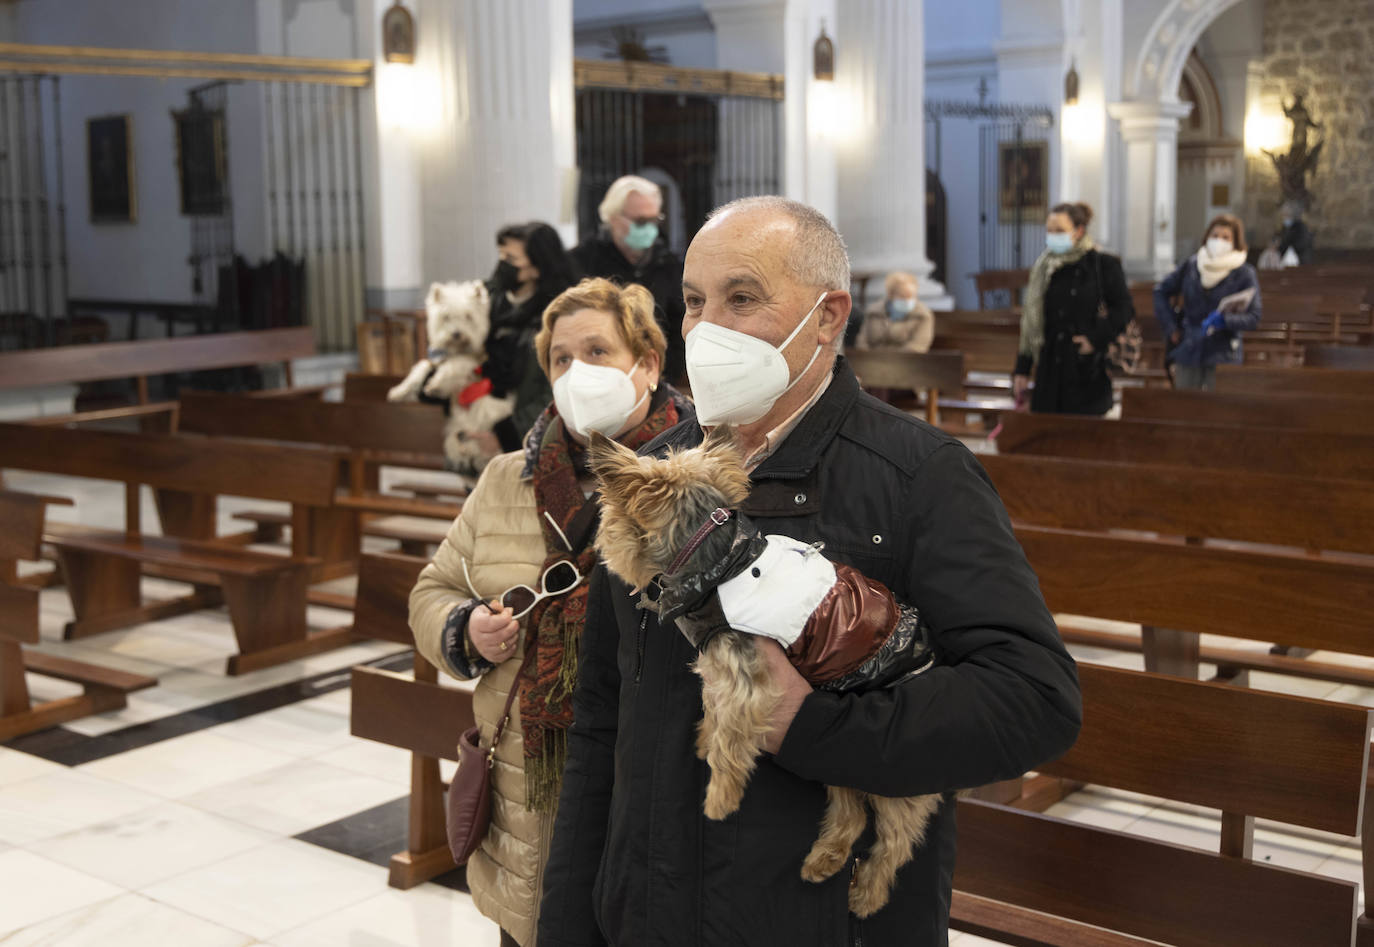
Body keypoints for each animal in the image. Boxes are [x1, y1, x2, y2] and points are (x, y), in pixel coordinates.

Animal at [390, 279, 513, 472]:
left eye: (468, 316)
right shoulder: (436, 361)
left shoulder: (470, 363)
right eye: (446, 316)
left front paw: (436, 385)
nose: (456, 334)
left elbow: (454, 365)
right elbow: (421, 368)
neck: (456, 348)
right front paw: (398, 392)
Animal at [585, 428, 939, 918]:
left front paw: (719, 799)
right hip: (836, 753)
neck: (718, 557)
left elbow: (730, 741)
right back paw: (823, 861)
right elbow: (714, 711)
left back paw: (867, 893)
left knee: (894, 838)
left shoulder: (746, 677)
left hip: (883, 769)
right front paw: (703, 738)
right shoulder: (719, 663)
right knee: (850, 813)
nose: (601, 548)